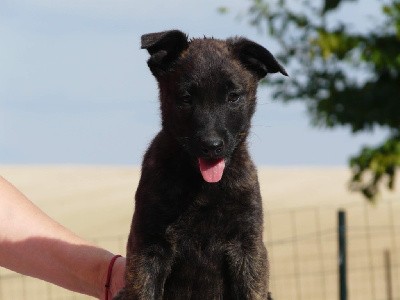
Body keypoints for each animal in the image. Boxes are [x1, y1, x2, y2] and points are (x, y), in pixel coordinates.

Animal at [114, 29, 286, 298]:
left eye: (233, 97)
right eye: (186, 98)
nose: (211, 145)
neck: (203, 187)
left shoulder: (248, 247)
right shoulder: (148, 247)